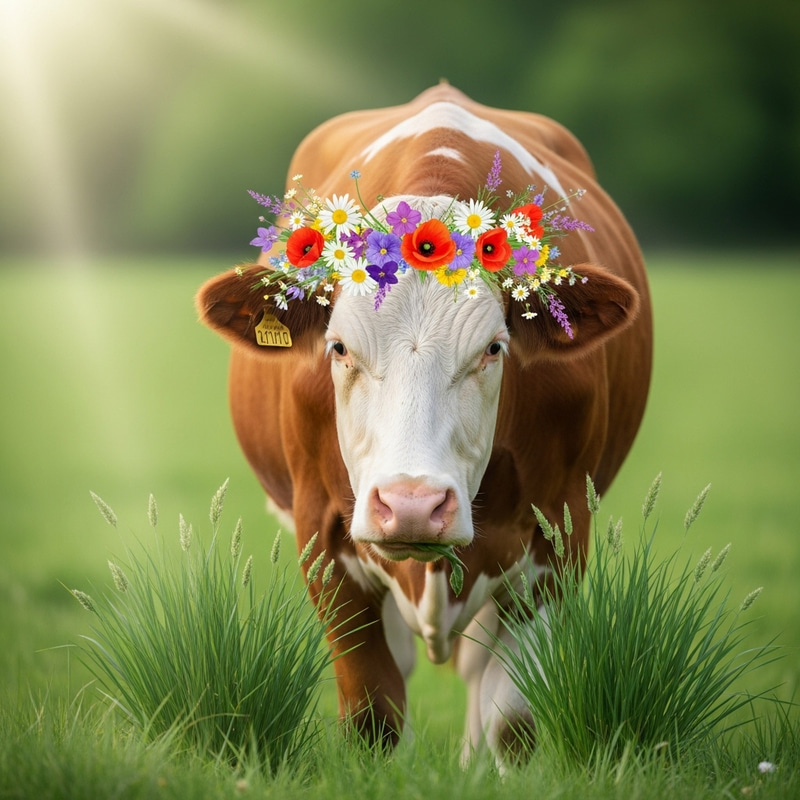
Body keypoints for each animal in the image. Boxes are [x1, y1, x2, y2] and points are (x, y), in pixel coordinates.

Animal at [196, 82, 652, 765]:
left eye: (493, 348)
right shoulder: (320, 534)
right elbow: (373, 712)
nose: (412, 505)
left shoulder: (560, 534)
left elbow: (510, 718)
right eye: (338, 348)